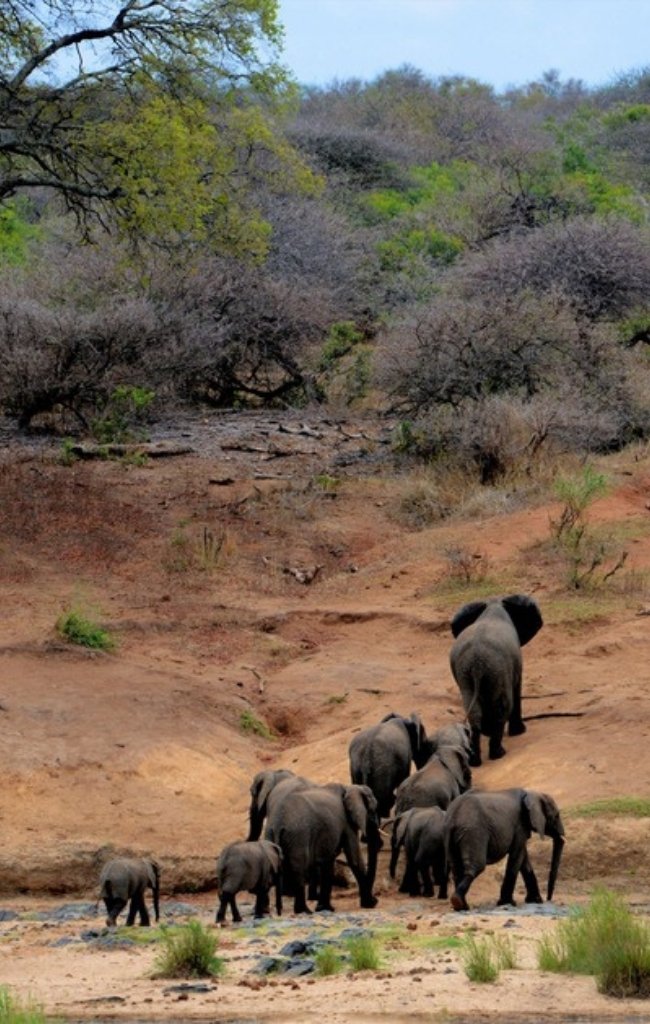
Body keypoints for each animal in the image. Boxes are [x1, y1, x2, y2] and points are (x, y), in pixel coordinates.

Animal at [265, 782, 380, 914]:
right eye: (373, 810)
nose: (375, 899)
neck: (350, 788)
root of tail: (278, 824)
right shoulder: (347, 823)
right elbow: (354, 859)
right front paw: (370, 904)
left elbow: (328, 862)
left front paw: (325, 908)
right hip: (299, 835)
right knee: (299, 867)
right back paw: (304, 911)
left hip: (270, 834)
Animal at [450, 594, 543, 766]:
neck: (493, 605)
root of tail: (477, 662)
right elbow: (517, 688)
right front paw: (519, 732)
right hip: (497, 668)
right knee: (503, 706)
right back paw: (498, 754)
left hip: (466, 673)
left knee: (474, 711)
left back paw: (475, 761)